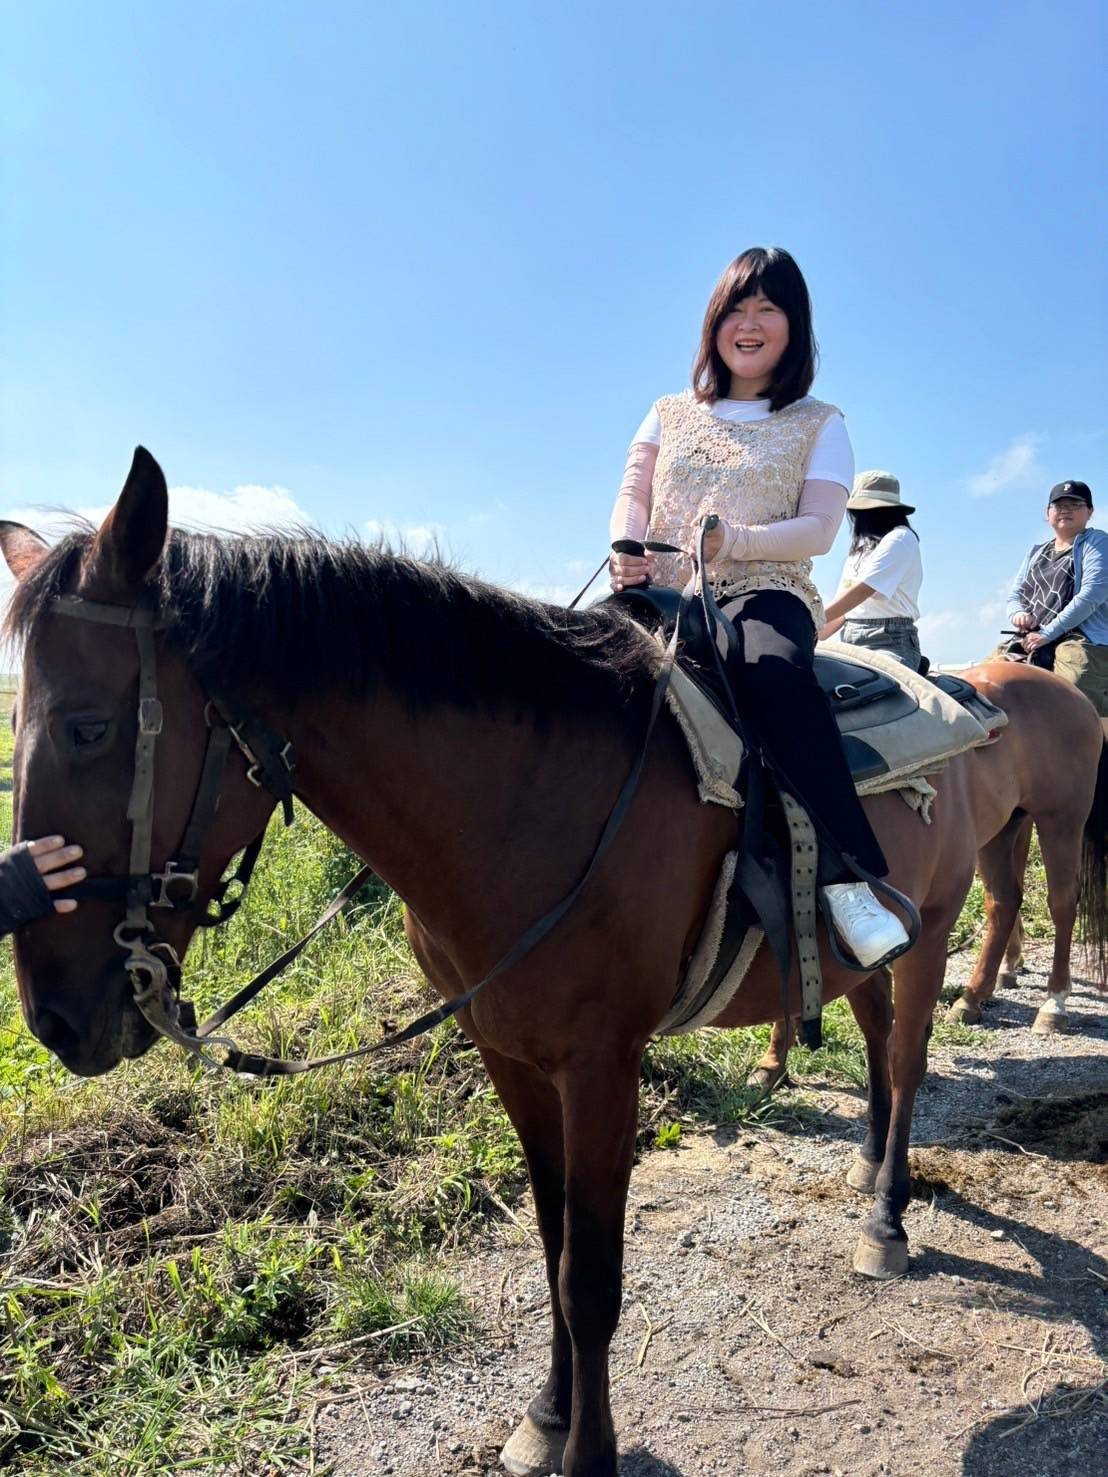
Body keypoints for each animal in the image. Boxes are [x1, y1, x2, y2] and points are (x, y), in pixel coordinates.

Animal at [1, 449, 995, 1477]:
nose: (54, 1017)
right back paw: (868, 1171)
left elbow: (589, 1275)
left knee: (908, 1057)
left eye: (86, 727)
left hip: (934, 932)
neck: (531, 801)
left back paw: (887, 1217)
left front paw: (590, 1451)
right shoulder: (509, 1052)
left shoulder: (603, 1064)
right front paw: (548, 1416)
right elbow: (552, 1245)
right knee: (875, 1031)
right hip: (852, 959)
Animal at [748, 661, 1108, 1094]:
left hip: (1062, 820)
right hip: (1005, 828)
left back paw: (1054, 1003)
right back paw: (972, 997)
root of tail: (1069, 691)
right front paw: (773, 1061)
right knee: (1004, 902)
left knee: (1062, 905)